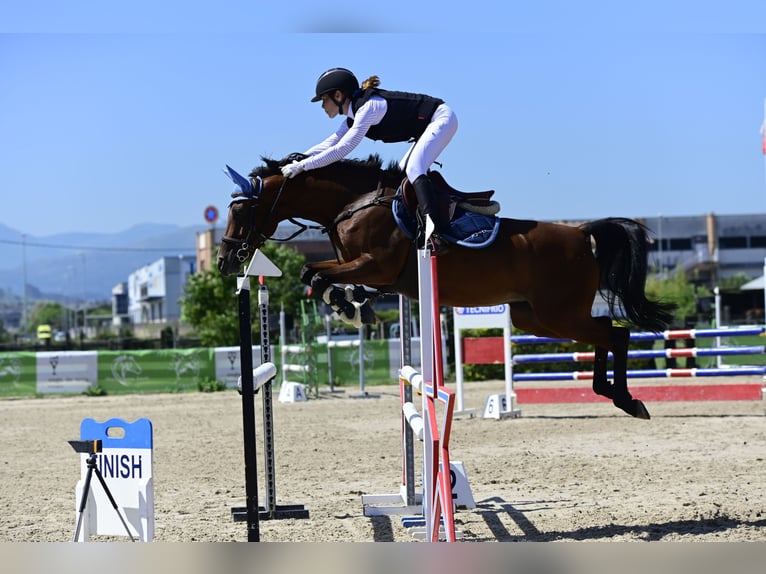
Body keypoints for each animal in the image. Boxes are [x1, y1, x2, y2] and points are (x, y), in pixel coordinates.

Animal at [218, 155, 680, 420]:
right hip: (537, 317)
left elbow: (315, 273)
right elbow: (315, 274)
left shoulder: (377, 265)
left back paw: (627, 399)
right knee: (604, 335)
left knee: (615, 336)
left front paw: (350, 307)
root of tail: (583, 233)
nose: (224, 261)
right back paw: (610, 392)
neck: (353, 203)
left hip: (557, 313)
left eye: (240, 211)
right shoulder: (365, 269)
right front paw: (353, 306)